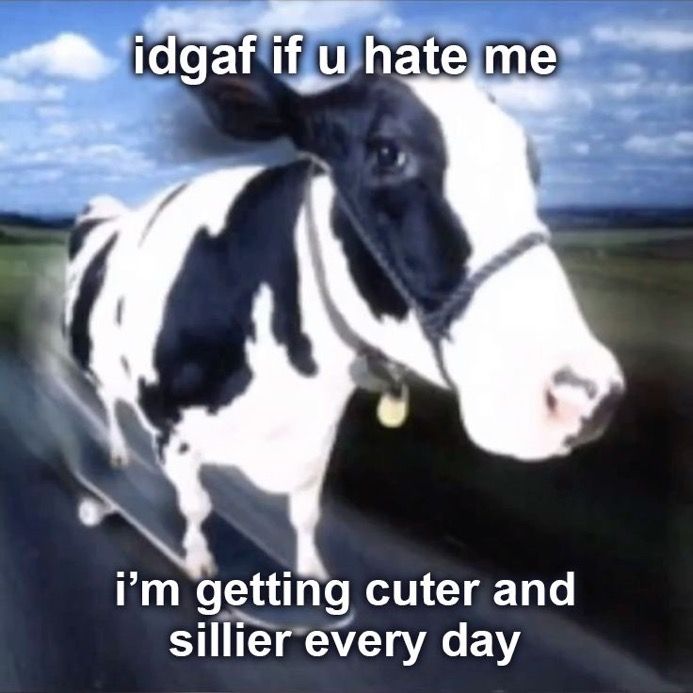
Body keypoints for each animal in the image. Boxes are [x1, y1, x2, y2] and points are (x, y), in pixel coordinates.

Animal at [65, 63, 624, 580]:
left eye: (530, 161)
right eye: (388, 153)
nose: (587, 393)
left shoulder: (318, 436)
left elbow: (306, 514)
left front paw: (313, 574)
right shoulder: (171, 430)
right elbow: (196, 505)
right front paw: (200, 561)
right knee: (108, 402)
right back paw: (117, 454)